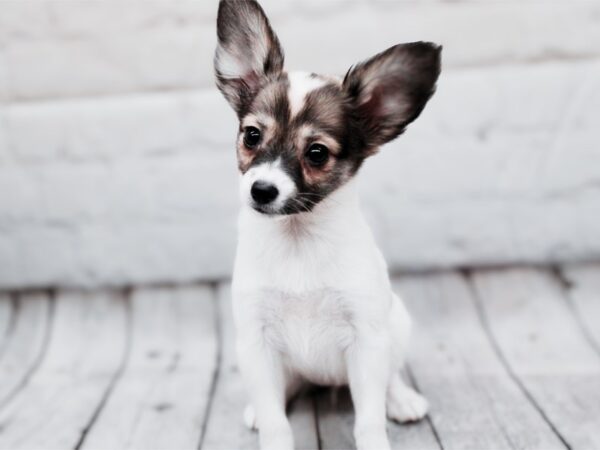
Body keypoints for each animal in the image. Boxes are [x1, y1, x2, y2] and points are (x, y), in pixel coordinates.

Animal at [213, 1, 438, 448]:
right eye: (251, 136)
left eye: (316, 153)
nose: (261, 190)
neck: (298, 239)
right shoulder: (256, 342)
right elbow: (276, 420)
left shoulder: (367, 341)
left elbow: (368, 419)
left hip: (395, 325)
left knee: (390, 377)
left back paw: (402, 399)